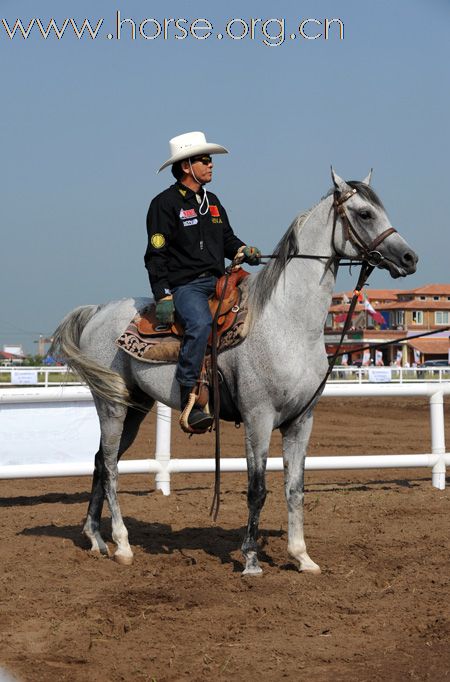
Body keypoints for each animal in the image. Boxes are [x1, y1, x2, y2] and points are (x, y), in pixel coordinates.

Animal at [51, 167, 416, 572]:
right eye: (365, 214)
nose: (409, 257)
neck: (288, 323)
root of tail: (98, 310)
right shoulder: (258, 416)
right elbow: (257, 489)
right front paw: (251, 558)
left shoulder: (301, 420)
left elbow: (295, 488)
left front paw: (301, 556)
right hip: (112, 405)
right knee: (112, 468)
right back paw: (123, 544)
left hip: (136, 407)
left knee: (101, 461)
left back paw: (95, 538)